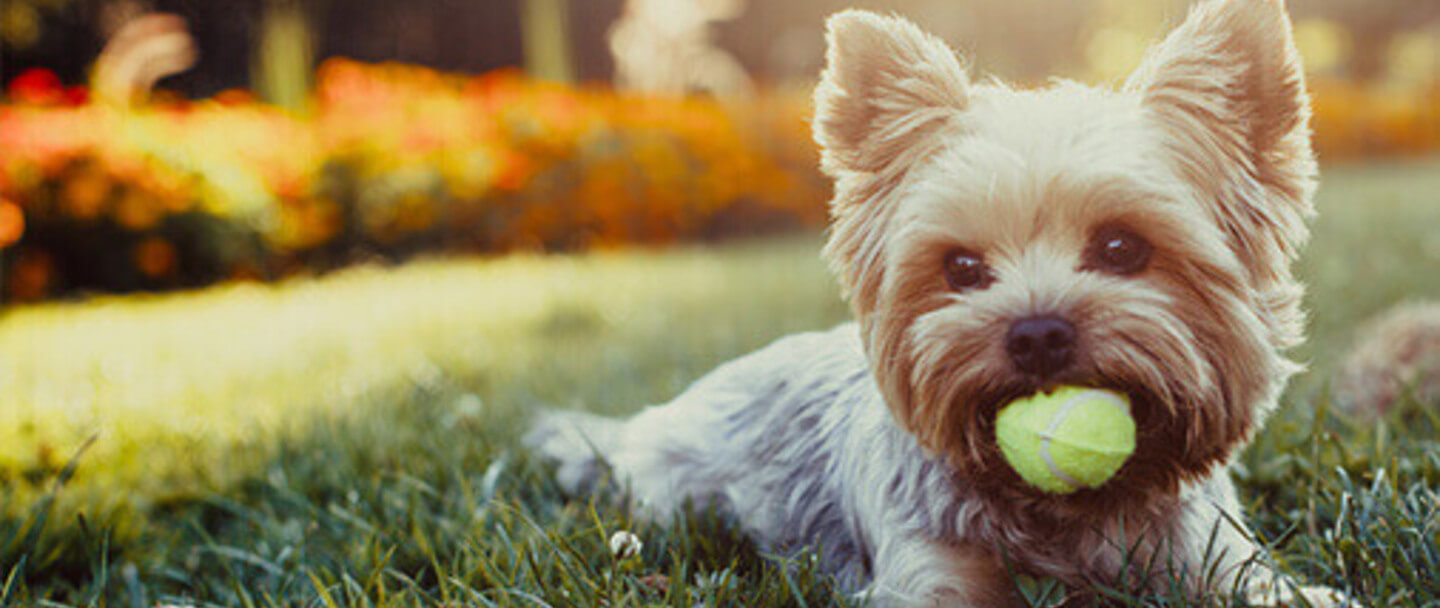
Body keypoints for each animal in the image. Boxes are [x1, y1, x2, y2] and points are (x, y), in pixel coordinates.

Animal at [527, 0, 1347, 602]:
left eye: (1122, 247)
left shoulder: (1214, 557)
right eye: (961, 267)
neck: (1067, 517)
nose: (1037, 332)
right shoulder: (931, 573)